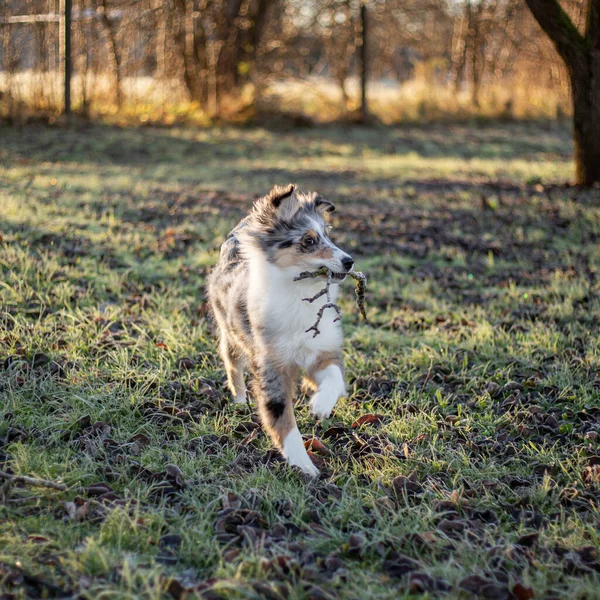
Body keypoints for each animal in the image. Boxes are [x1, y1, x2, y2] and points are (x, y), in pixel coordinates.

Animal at [207, 185, 354, 476]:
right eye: (309, 241)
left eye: (328, 235)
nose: (349, 262)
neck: (300, 294)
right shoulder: (271, 368)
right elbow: (284, 421)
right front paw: (304, 466)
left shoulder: (320, 352)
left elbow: (335, 378)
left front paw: (320, 406)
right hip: (231, 335)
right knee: (232, 366)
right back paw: (239, 400)